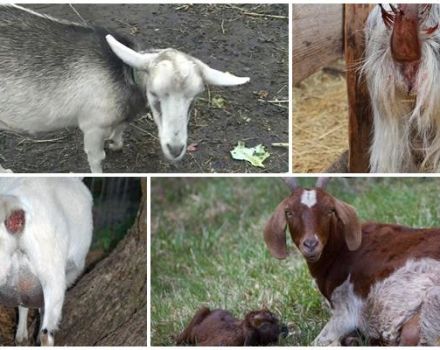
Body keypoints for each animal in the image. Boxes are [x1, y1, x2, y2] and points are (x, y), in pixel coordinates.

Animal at [262, 179, 440, 346]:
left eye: (329, 210)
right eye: (289, 212)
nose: (311, 244)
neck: (341, 249)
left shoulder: (345, 309)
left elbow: (319, 341)